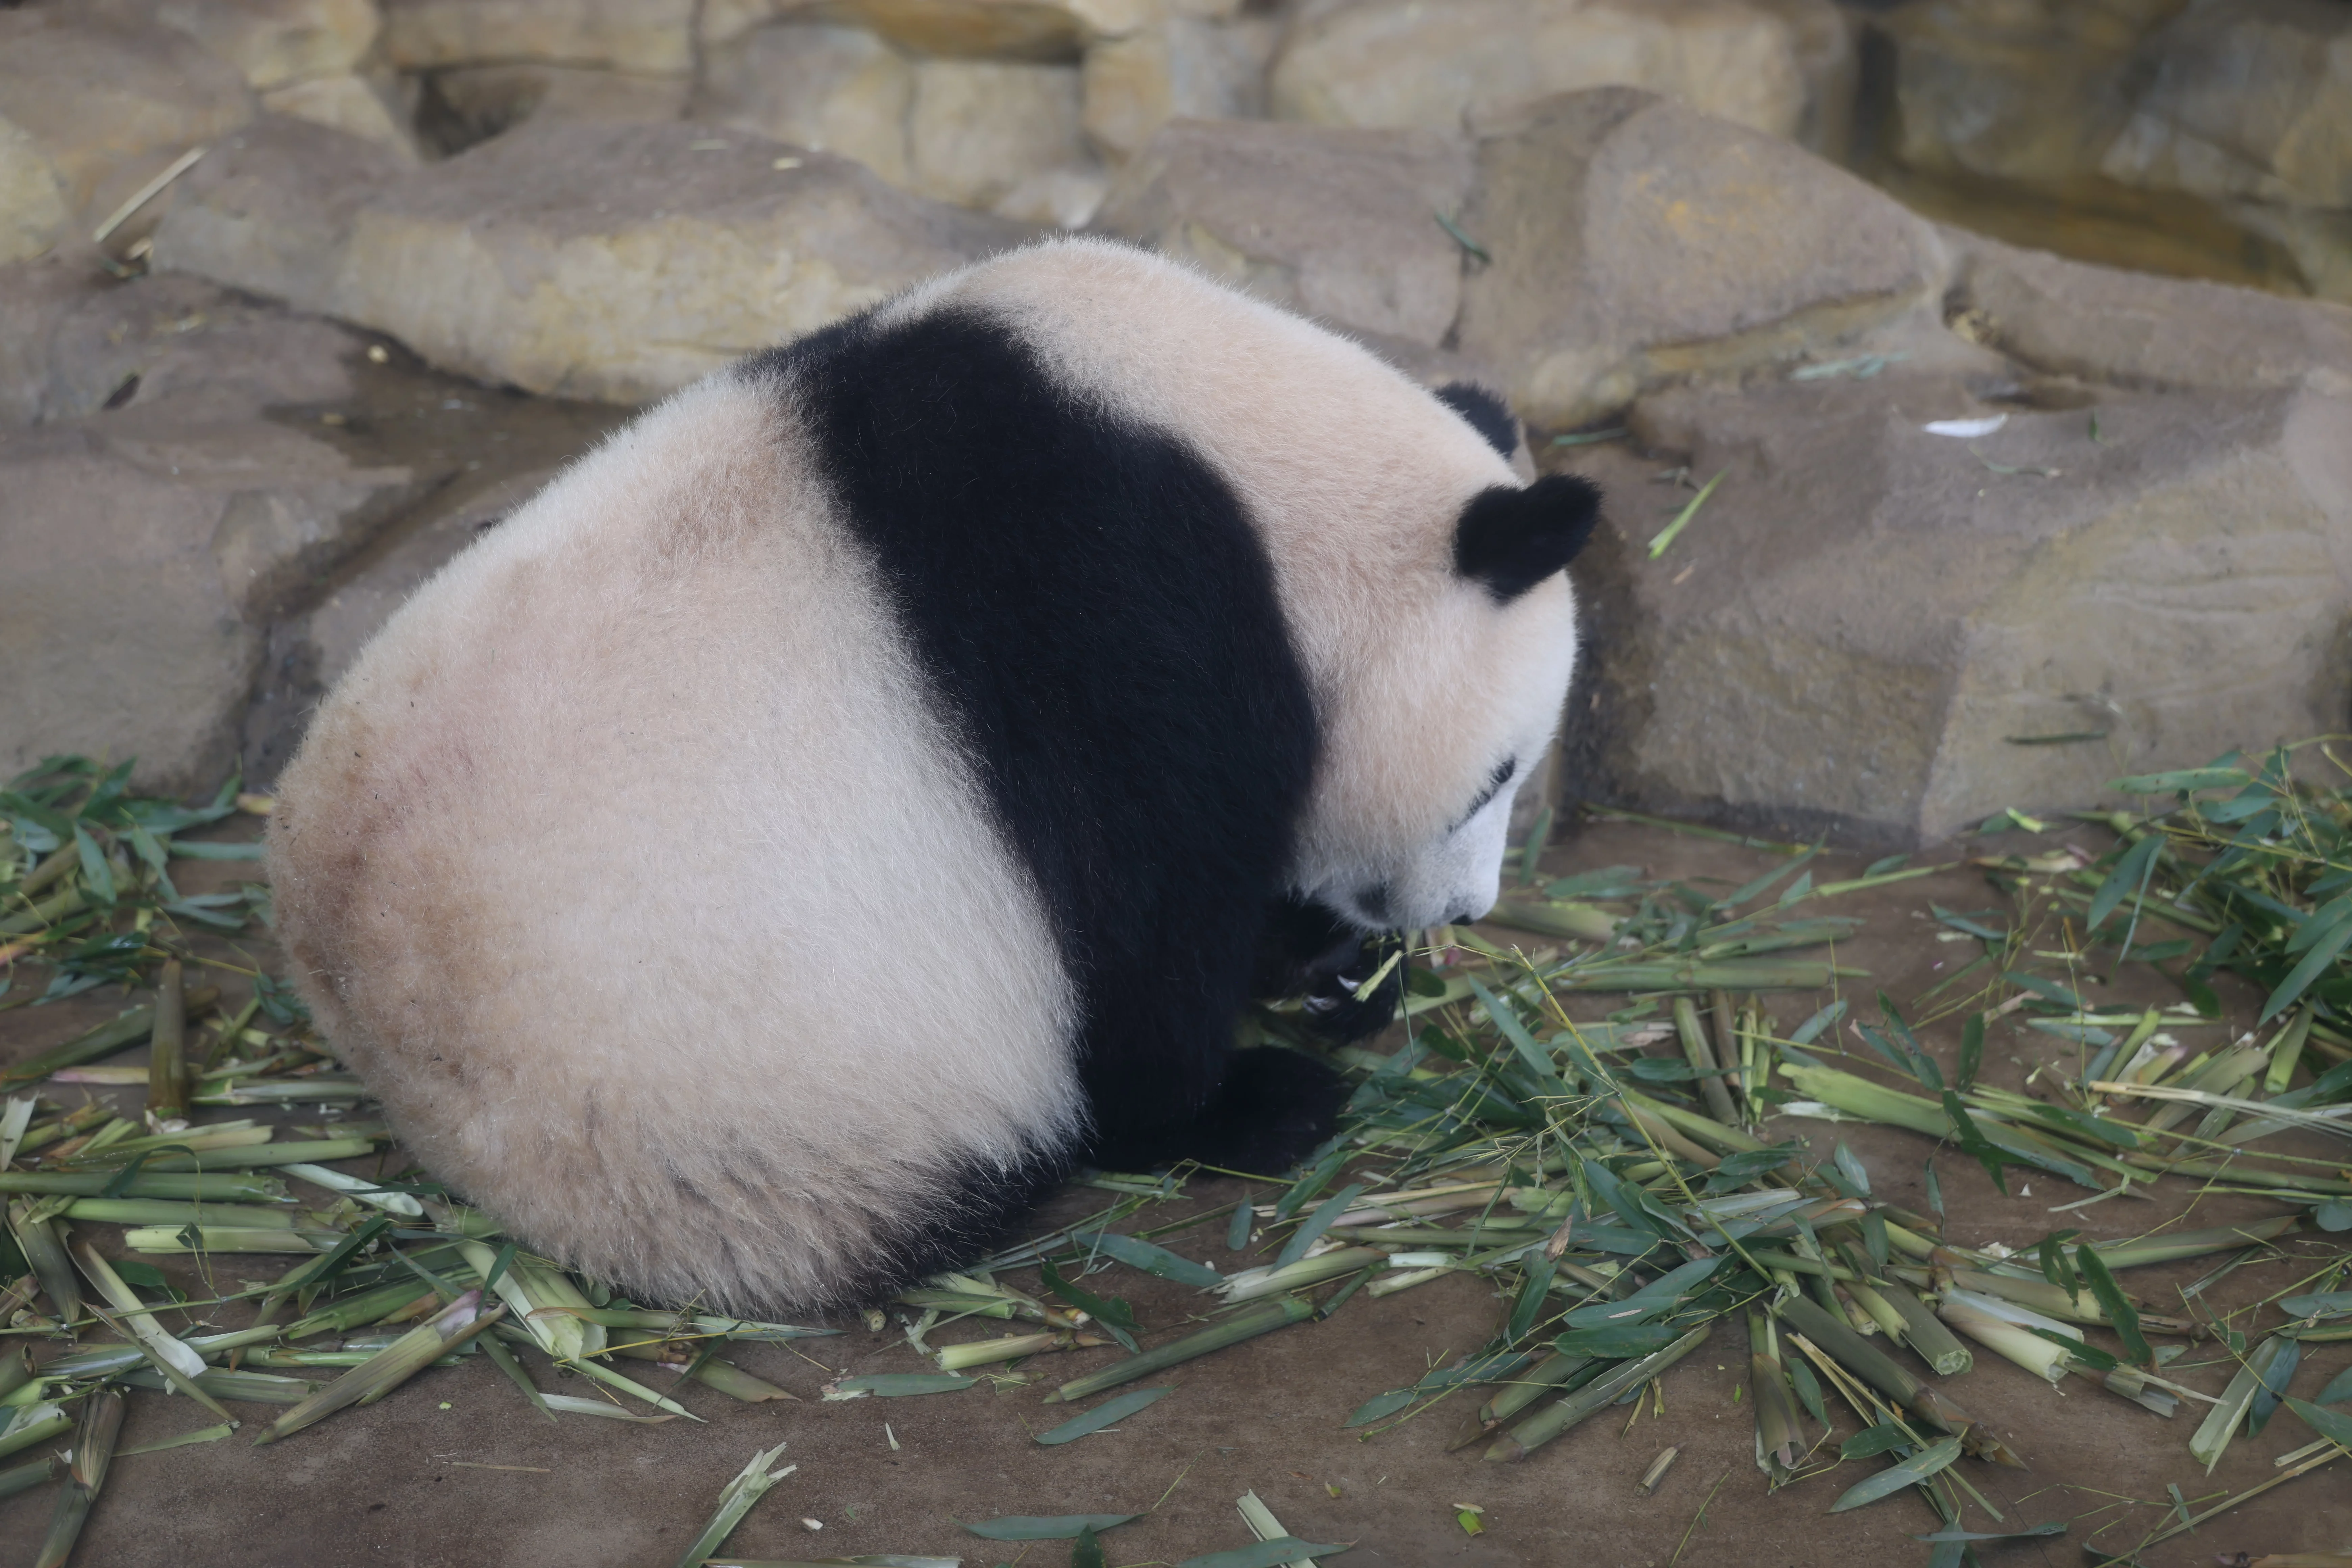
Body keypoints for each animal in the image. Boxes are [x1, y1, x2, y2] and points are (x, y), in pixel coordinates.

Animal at [267, 237, 1600, 1314]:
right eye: (1494, 778)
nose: (1466, 908)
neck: (1262, 478)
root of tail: (378, 1042)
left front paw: (1334, 971)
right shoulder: (1119, 610)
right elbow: (1137, 916)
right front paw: (1242, 1075)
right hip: (720, 1112)